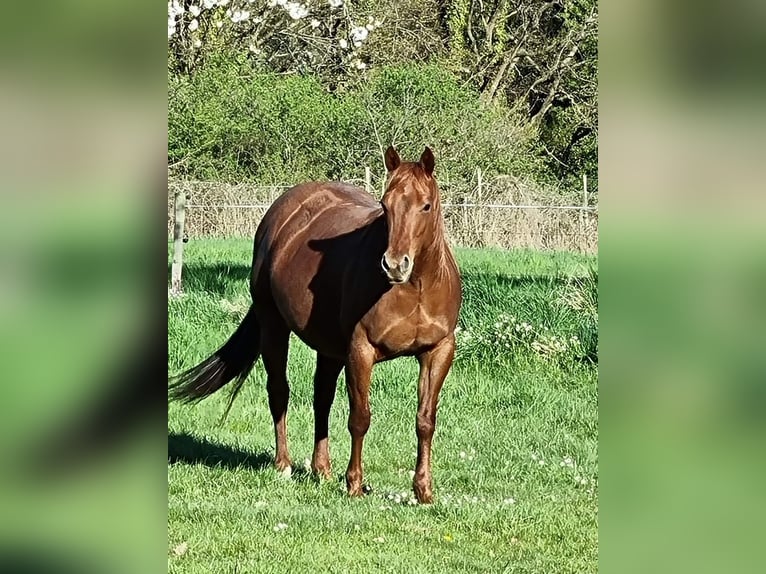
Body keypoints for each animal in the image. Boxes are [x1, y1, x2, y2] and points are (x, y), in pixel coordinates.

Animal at [170, 147, 462, 504]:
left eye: (426, 205)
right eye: (385, 205)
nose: (394, 265)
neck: (415, 288)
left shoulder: (439, 351)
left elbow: (425, 420)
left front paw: (423, 491)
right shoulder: (360, 351)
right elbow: (360, 418)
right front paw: (354, 484)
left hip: (329, 347)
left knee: (322, 398)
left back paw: (321, 468)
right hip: (274, 325)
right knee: (279, 391)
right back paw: (284, 464)